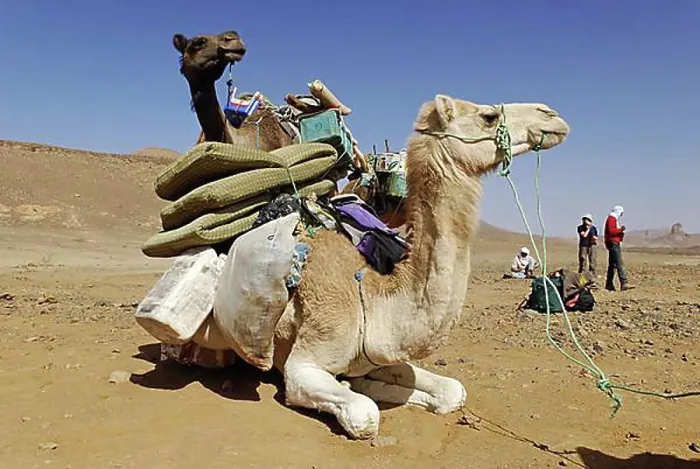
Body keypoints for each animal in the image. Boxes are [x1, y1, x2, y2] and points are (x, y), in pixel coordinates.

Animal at [267, 94, 570, 439]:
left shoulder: (380, 356)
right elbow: (365, 414)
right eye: (489, 116)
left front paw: (362, 383)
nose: (551, 115)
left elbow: (452, 391)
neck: (369, 298)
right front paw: (354, 389)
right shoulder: (303, 365)